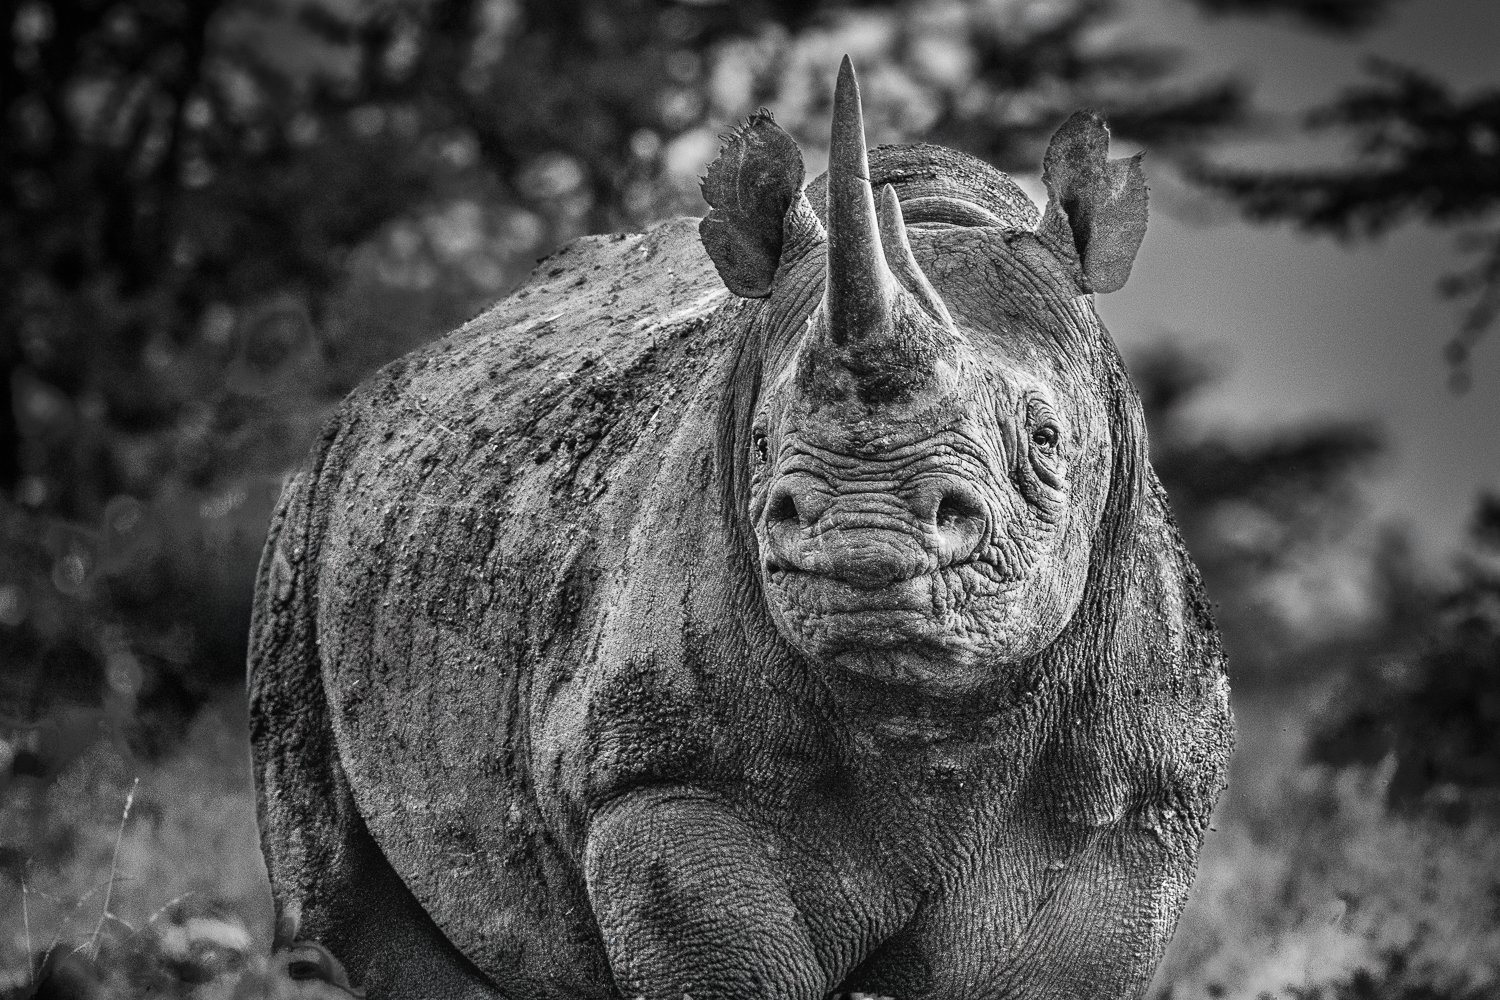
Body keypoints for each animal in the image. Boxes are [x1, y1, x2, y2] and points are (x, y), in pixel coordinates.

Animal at [249, 58, 1233, 1000]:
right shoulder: (663, 775)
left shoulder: (1136, 803)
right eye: (760, 444)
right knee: (337, 902)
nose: (865, 535)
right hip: (311, 514)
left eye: (1046, 437)